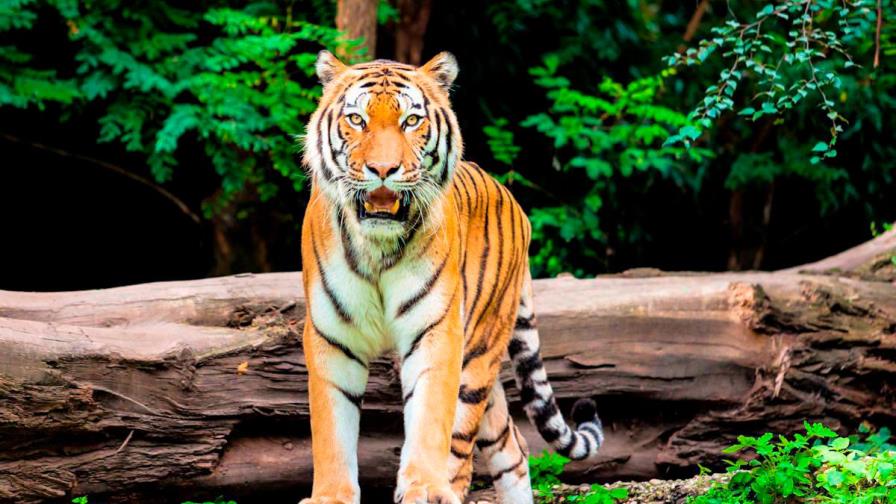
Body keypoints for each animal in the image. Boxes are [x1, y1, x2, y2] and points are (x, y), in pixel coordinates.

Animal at [299, 50, 604, 504]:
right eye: (356, 119)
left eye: (411, 120)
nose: (383, 169)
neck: (377, 249)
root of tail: (511, 198)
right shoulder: (331, 337)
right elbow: (330, 429)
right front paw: (331, 497)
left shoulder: (436, 330)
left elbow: (430, 417)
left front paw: (425, 486)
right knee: (513, 445)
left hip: (478, 351)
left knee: (465, 446)